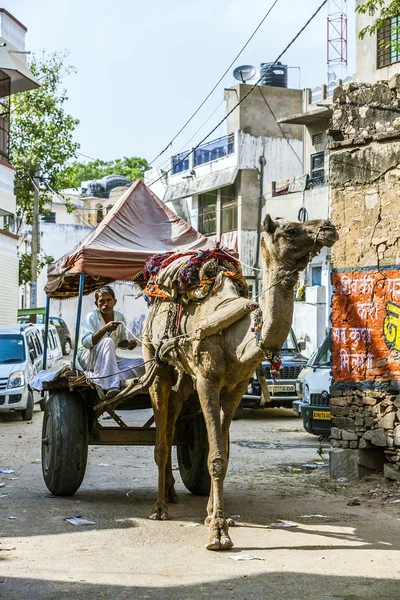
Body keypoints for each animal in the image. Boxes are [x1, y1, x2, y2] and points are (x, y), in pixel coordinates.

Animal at [142, 214, 340, 548]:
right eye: (291, 230)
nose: (329, 227)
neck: (238, 339)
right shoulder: (207, 380)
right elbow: (215, 456)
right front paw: (218, 533)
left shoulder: (235, 387)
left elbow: (222, 450)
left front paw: (213, 514)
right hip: (155, 361)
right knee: (160, 432)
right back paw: (158, 508)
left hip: (185, 379)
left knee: (171, 420)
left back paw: (169, 492)